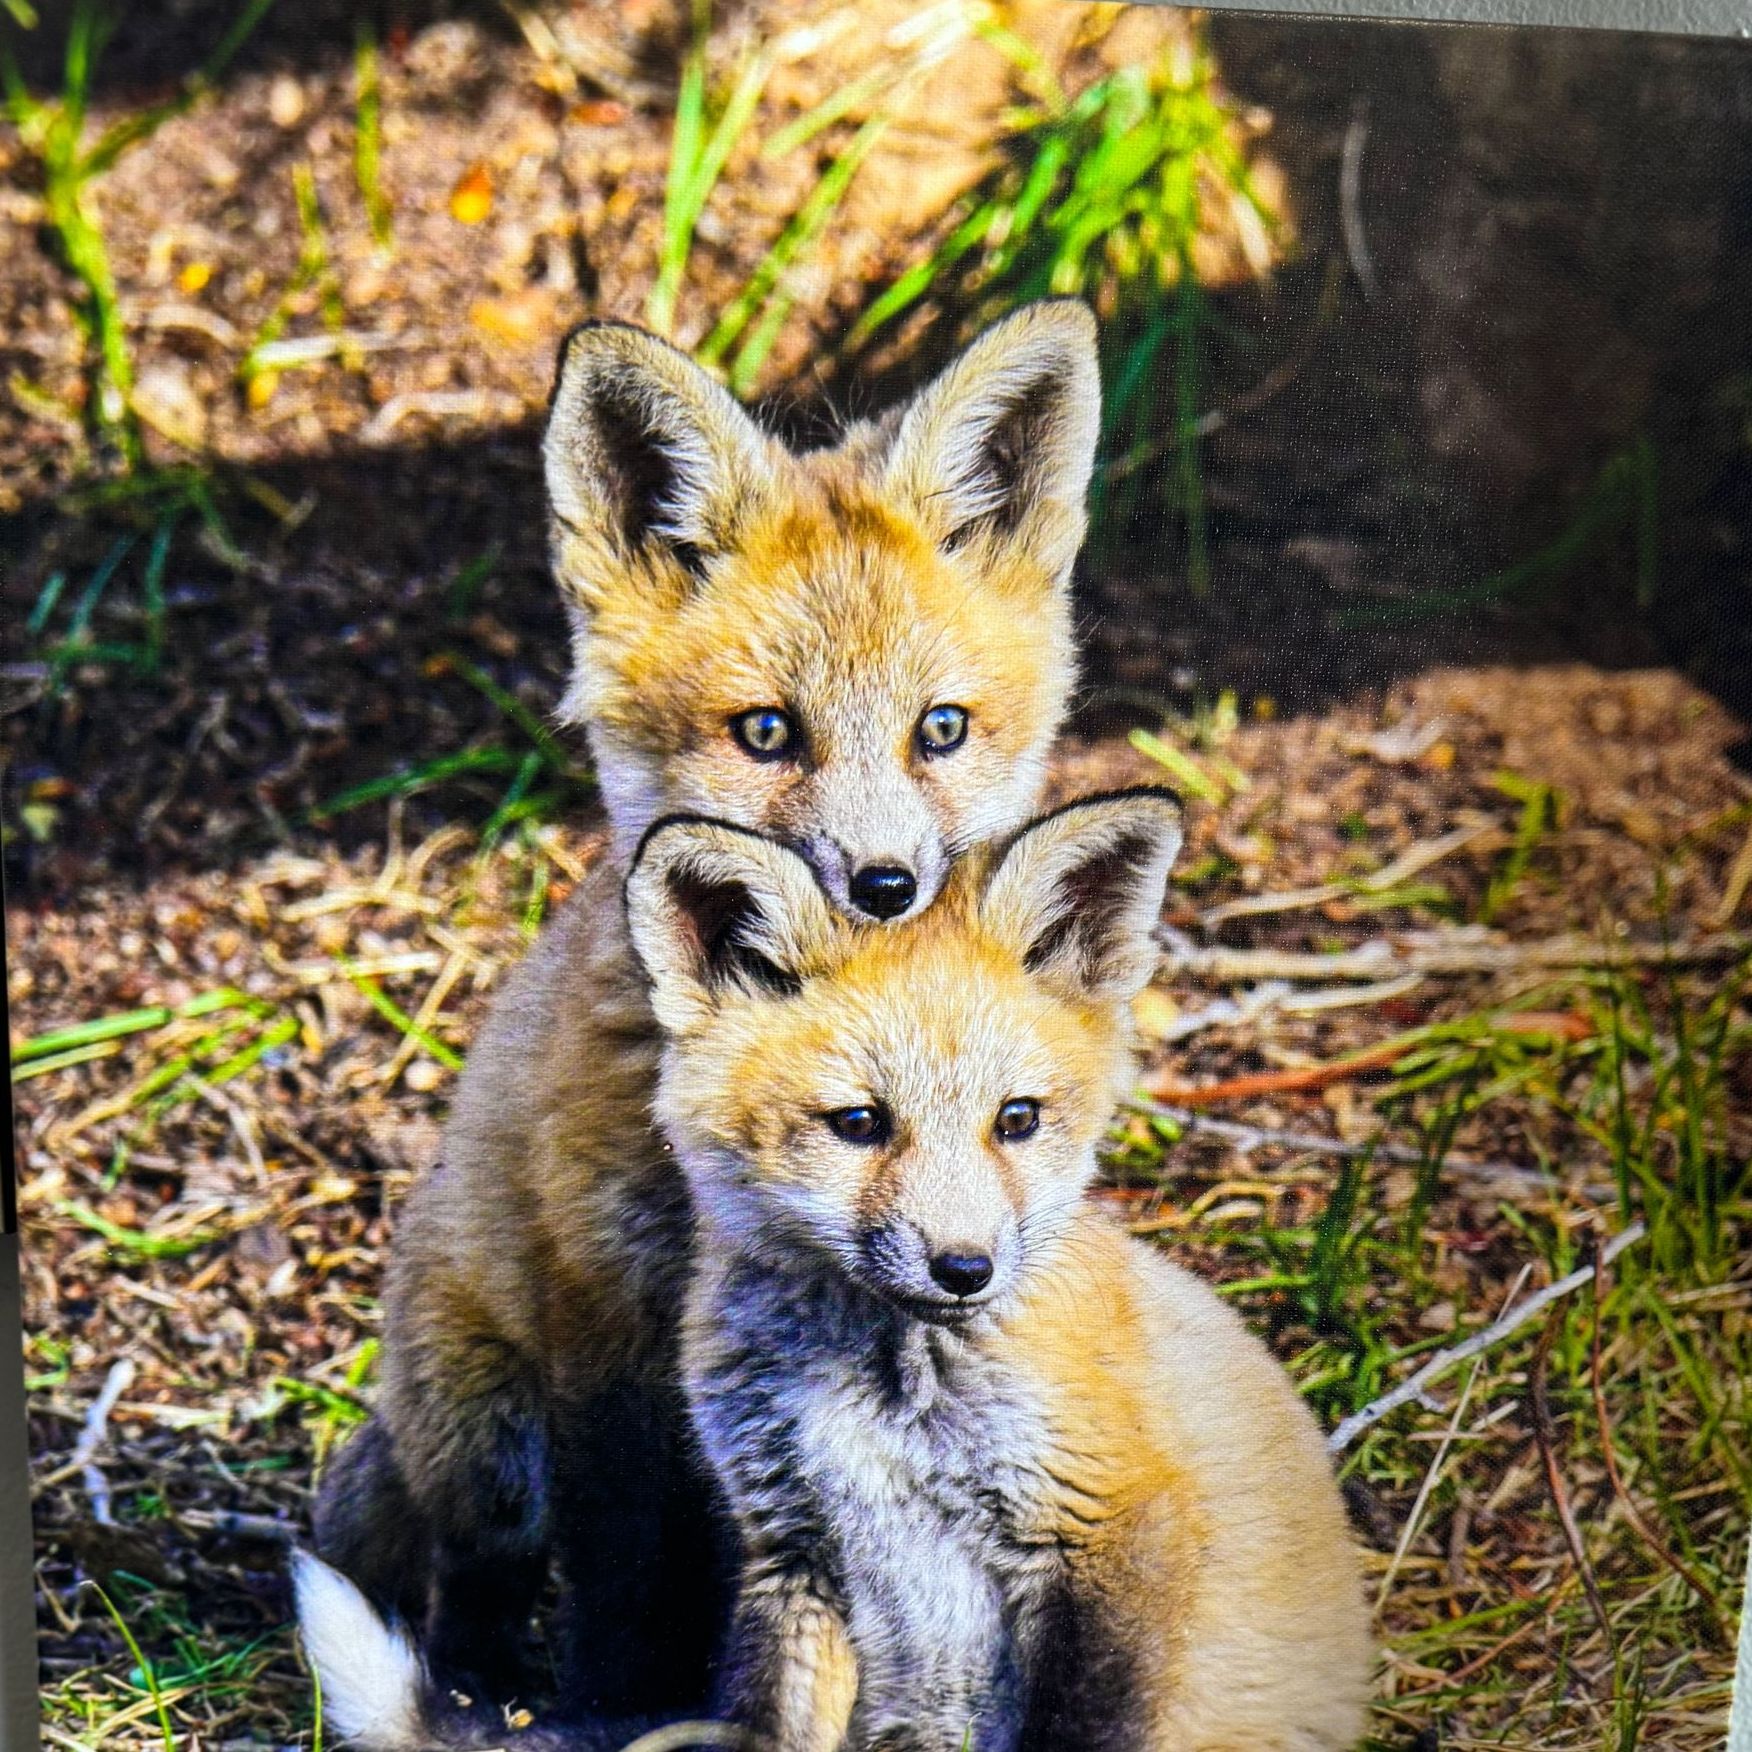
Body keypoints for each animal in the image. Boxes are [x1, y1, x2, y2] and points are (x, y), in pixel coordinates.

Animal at [296, 788, 1373, 1752]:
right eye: (859, 1123)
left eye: (1017, 1120)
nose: (966, 1268)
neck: (886, 1398)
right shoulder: (791, 1547)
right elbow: (770, 1725)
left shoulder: (1114, 1523)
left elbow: (1091, 1728)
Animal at [308, 300, 1104, 1720]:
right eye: (767, 732)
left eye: (940, 730)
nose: (885, 885)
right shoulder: (604, 1315)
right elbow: (626, 1580)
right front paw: (611, 1715)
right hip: (488, 1432)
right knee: (472, 1578)